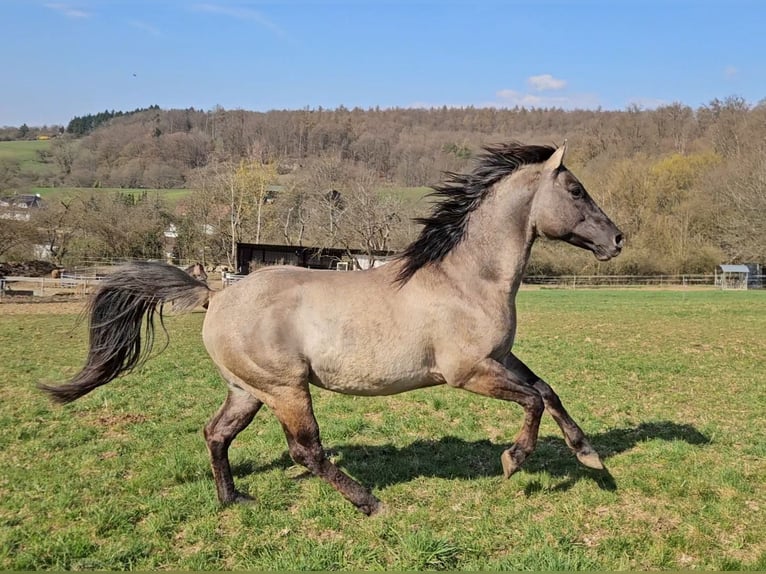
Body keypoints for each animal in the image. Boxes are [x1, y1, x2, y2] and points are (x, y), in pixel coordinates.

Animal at [40, 142, 623, 515]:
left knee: (216, 433)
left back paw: (234, 500)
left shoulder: (499, 358)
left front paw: (589, 455)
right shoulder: (468, 372)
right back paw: (370, 503)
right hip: (285, 388)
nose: (617, 239)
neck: (465, 278)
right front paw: (513, 461)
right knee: (307, 451)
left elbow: (547, 390)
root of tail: (217, 294)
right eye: (575, 190)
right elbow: (532, 401)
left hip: (247, 390)